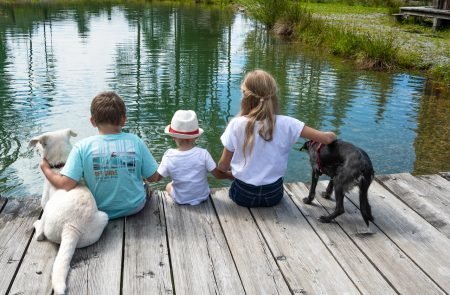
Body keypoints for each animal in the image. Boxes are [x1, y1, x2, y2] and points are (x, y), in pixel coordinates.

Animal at [29, 130, 109, 295]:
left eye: (40, 143)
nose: (36, 147)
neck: (61, 166)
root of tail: (72, 227)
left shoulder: (44, 200)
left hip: (48, 211)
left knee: (40, 234)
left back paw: (37, 225)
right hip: (104, 217)